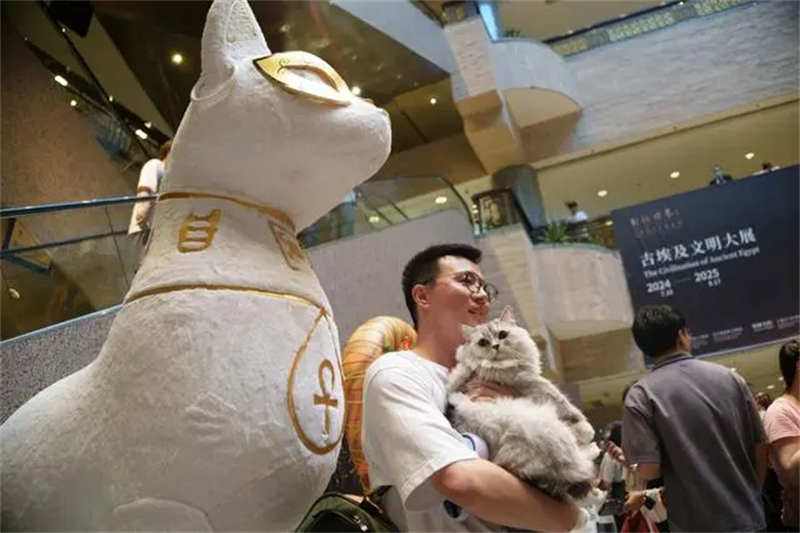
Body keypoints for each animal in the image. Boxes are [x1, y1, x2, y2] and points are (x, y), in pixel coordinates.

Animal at [446, 306, 596, 500]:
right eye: (483, 342)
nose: (495, 346)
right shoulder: (531, 381)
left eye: (502, 334)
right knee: (581, 461)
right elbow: (563, 402)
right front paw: (585, 429)